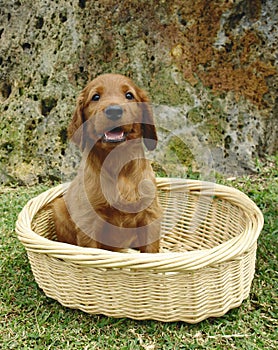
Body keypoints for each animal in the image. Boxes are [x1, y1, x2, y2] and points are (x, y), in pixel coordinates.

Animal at [51, 74, 162, 253]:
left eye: (129, 95)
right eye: (96, 97)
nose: (114, 111)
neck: (117, 163)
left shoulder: (150, 214)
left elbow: (150, 250)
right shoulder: (88, 221)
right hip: (58, 208)